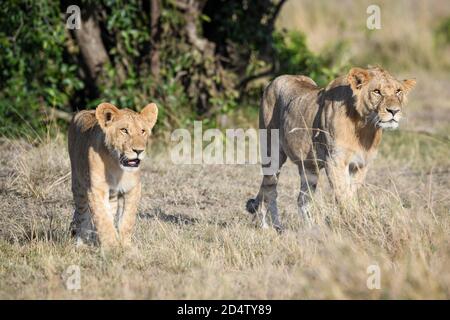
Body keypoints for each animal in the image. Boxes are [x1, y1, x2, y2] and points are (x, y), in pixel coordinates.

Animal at [67, 102, 158, 248]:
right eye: (124, 130)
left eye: (143, 131)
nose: (139, 151)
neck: (117, 166)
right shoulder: (95, 190)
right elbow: (103, 220)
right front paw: (112, 248)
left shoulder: (133, 189)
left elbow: (127, 220)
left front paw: (126, 246)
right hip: (78, 185)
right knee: (82, 214)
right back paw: (81, 244)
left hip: (112, 195)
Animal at [246, 67, 414, 230]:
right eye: (377, 91)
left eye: (398, 91)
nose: (394, 111)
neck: (365, 127)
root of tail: (273, 81)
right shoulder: (334, 161)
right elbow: (343, 195)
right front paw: (351, 224)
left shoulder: (361, 164)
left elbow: (351, 193)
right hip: (272, 153)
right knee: (270, 190)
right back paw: (271, 227)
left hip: (309, 167)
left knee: (302, 199)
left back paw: (311, 229)